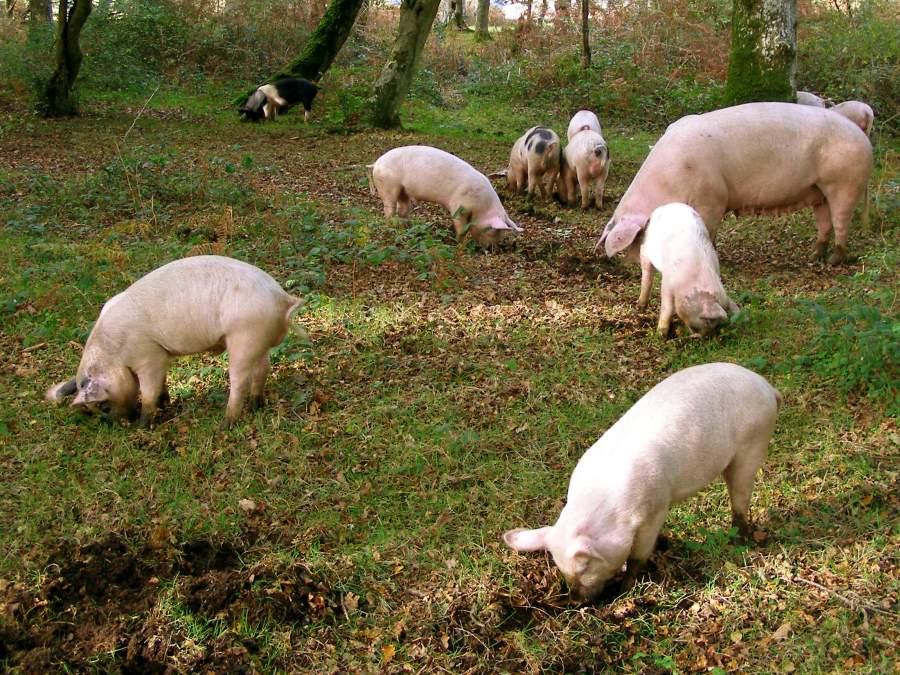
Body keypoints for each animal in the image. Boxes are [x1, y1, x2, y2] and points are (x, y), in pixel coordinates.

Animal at [596, 101, 872, 266]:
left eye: (639, 236)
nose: (630, 264)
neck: (669, 180)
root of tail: (865, 140)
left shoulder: (712, 199)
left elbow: (709, 231)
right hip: (818, 190)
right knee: (825, 222)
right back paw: (813, 256)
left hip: (844, 182)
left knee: (841, 221)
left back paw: (834, 260)